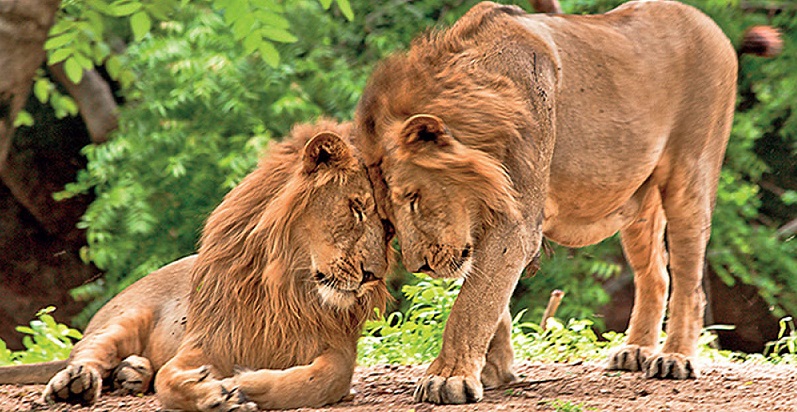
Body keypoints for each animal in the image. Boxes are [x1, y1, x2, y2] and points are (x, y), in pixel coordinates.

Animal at [0, 118, 388, 408]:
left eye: (387, 225)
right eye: (356, 208)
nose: (373, 275)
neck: (287, 286)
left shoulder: (338, 350)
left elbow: (318, 380)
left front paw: (247, 382)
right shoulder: (205, 344)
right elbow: (169, 381)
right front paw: (218, 393)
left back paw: (131, 373)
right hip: (121, 319)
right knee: (85, 353)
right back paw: (76, 383)